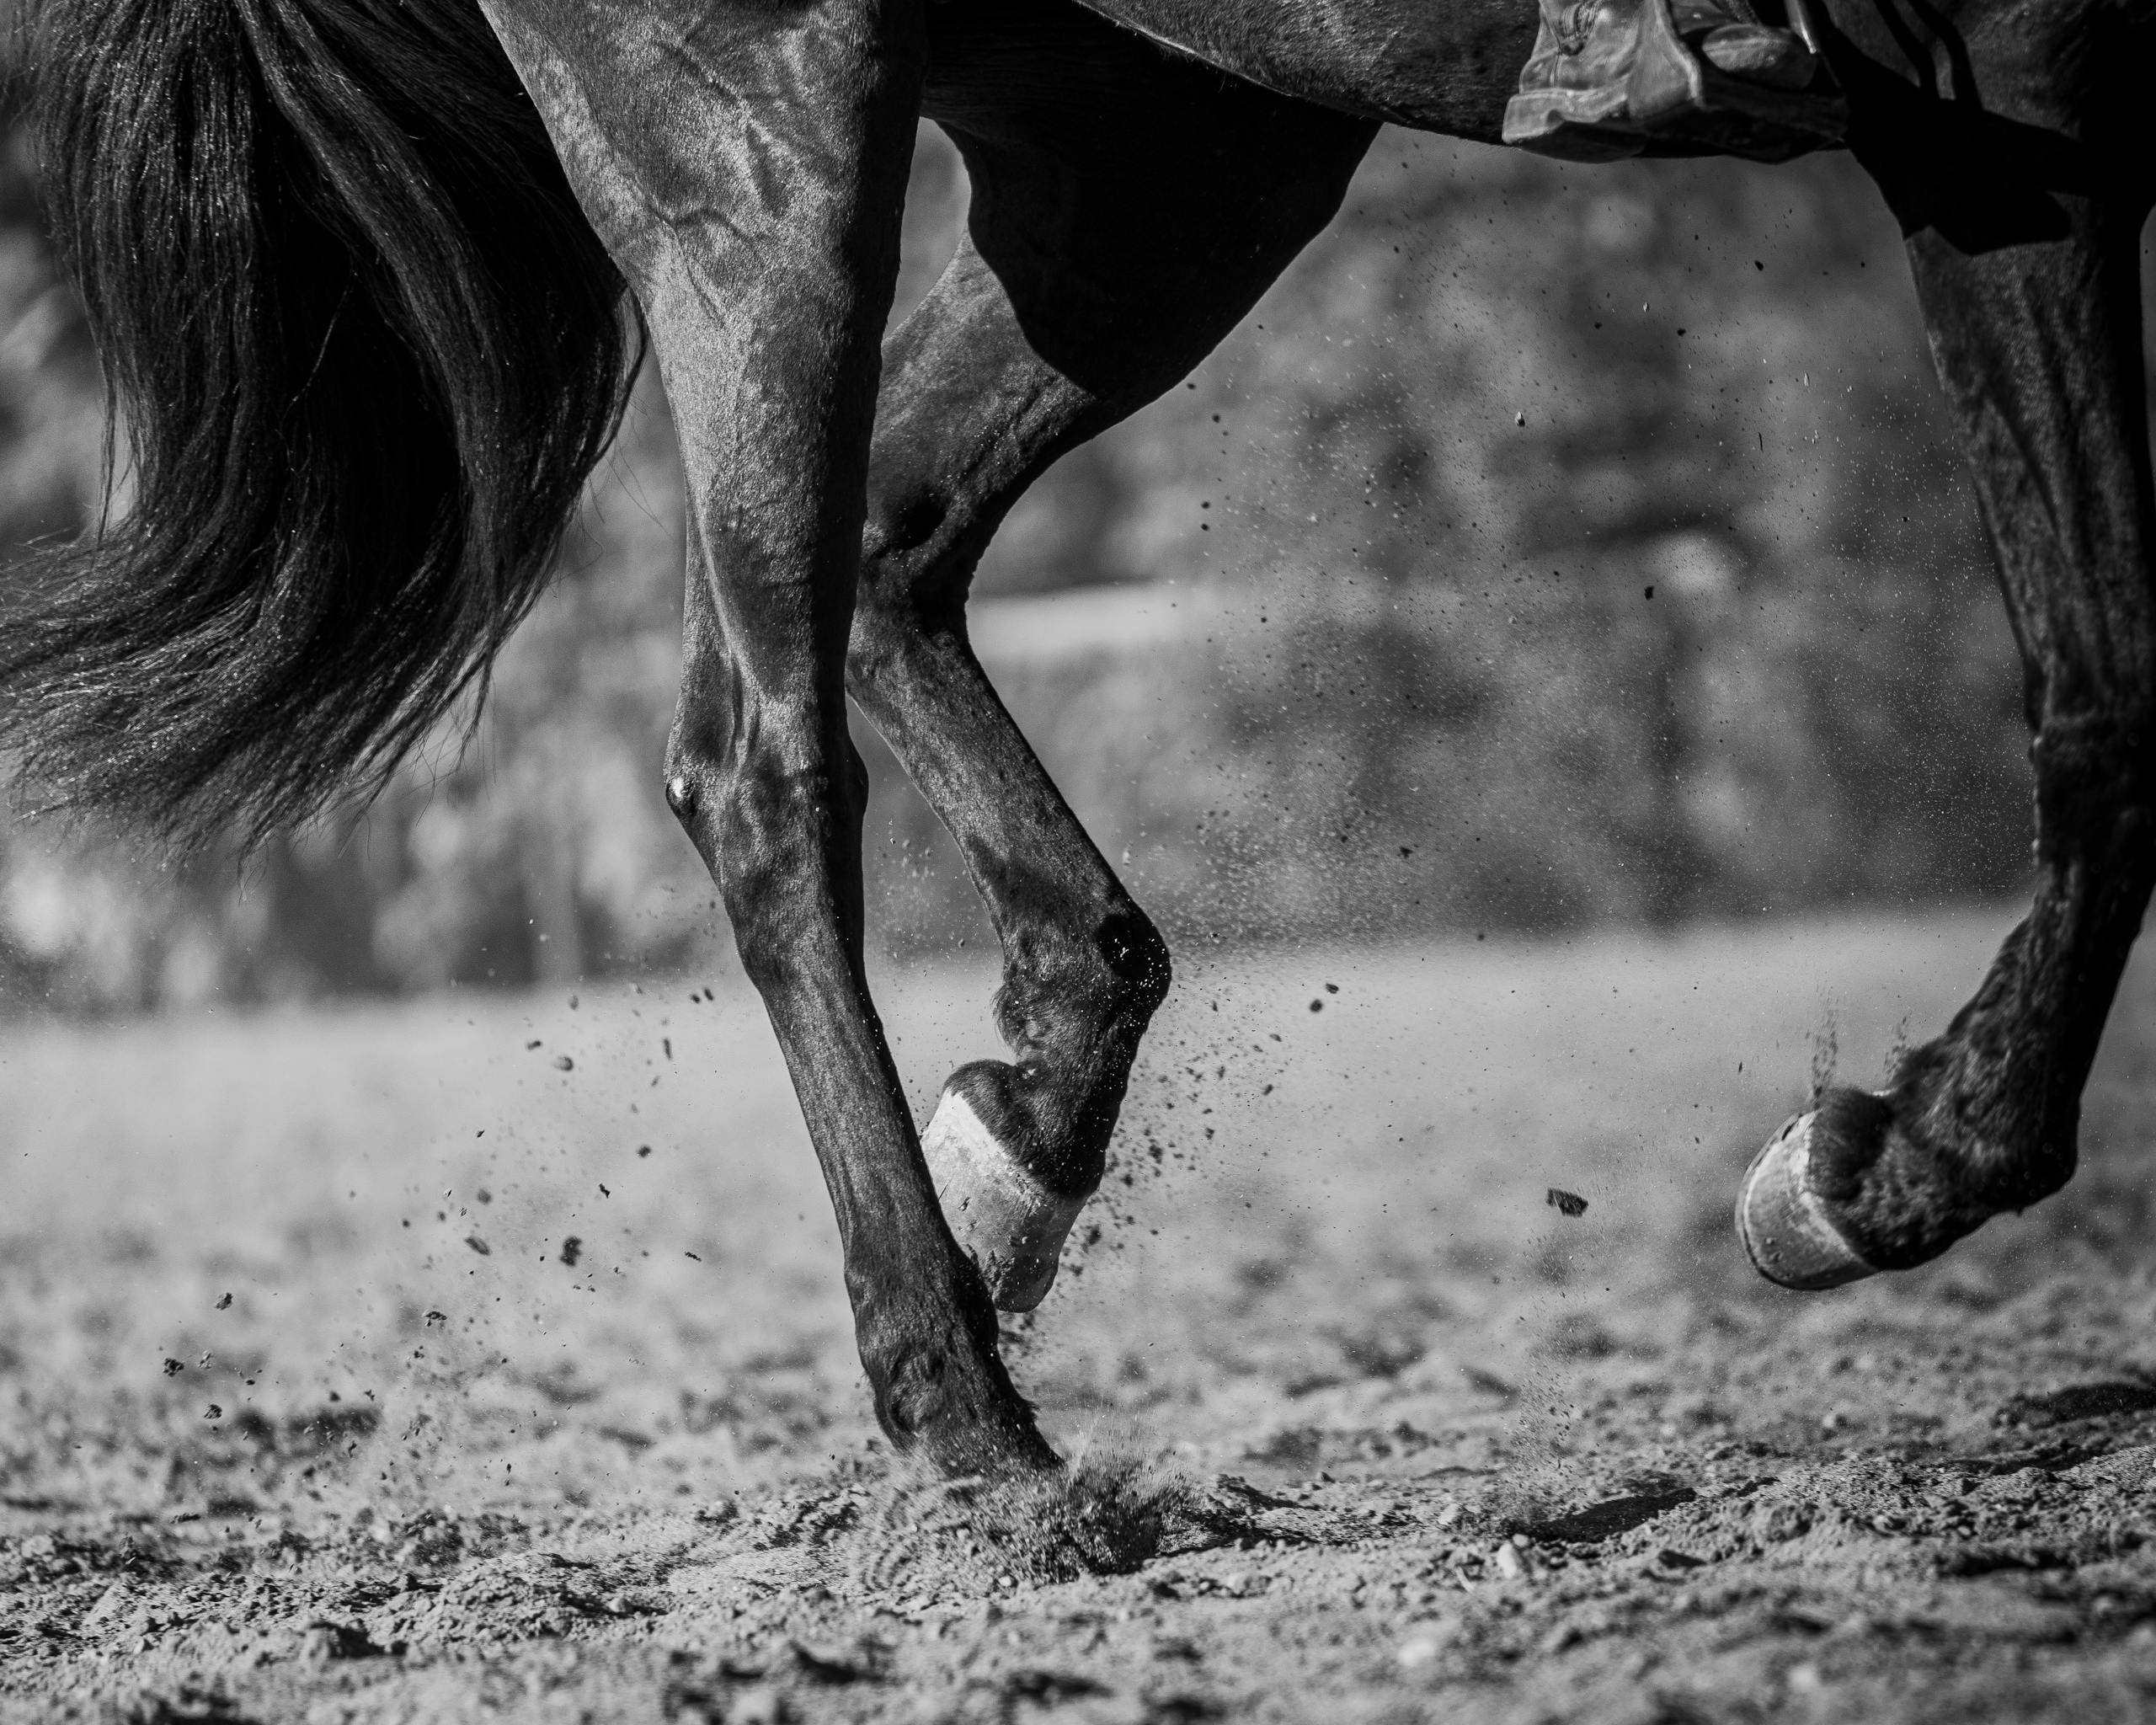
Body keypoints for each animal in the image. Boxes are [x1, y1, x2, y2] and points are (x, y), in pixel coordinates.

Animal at [7, 0, 2150, 1477]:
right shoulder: (2009, 100)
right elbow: (2106, 668)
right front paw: (1922, 1149)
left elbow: (2108, 652)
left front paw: (1909, 1152)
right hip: (771, 154)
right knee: (764, 762)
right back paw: (958, 1394)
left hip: (1159, 158)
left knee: (891, 560)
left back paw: (1018, 1151)